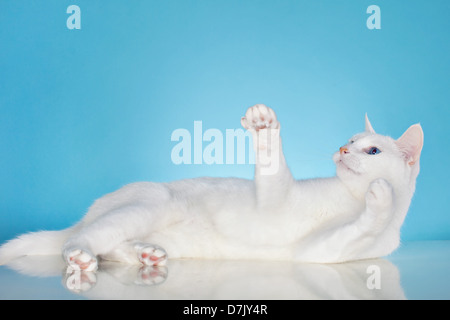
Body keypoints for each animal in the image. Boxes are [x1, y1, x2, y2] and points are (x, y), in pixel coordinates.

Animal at [0, 105, 422, 270]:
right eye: (349, 140)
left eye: (371, 150)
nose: (342, 150)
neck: (345, 198)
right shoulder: (276, 201)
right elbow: (273, 163)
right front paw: (264, 125)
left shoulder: (326, 250)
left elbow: (365, 225)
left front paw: (381, 197)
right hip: (149, 205)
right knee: (88, 239)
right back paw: (84, 255)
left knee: (108, 246)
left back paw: (145, 254)